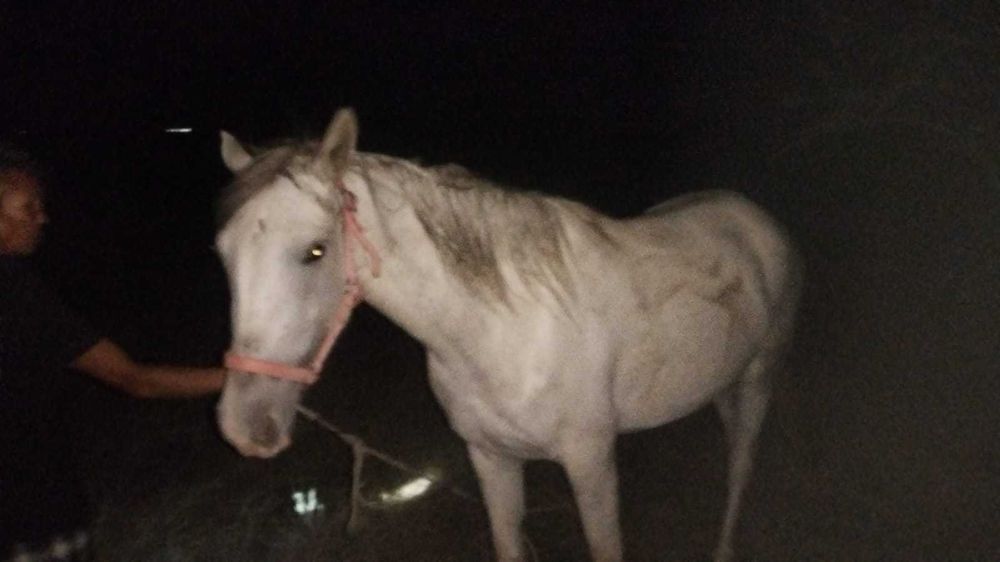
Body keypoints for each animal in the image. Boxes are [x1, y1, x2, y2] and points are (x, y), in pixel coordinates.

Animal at [213, 109, 802, 562]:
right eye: (223, 254)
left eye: (315, 250)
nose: (244, 428)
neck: (501, 333)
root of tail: (752, 217)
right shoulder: (490, 457)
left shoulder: (590, 462)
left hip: (760, 379)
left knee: (740, 467)